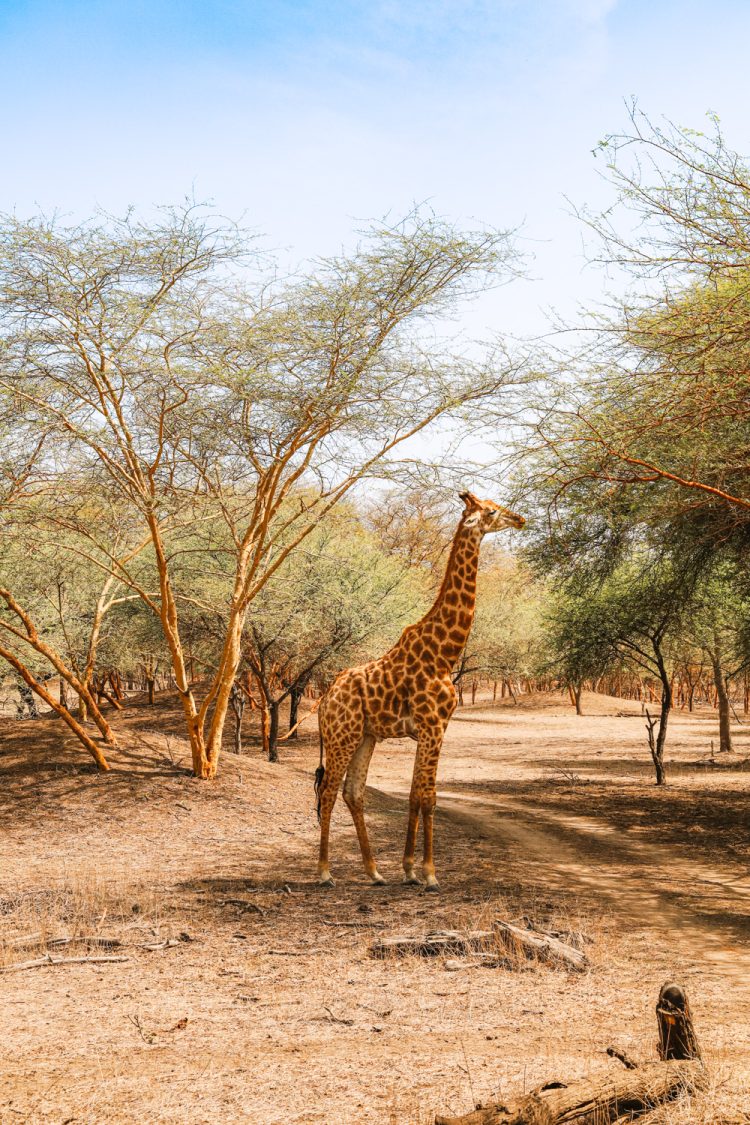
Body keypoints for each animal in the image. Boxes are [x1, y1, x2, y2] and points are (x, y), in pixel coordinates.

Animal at [314, 488, 526, 891]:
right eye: (492, 512)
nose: (520, 518)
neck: (444, 654)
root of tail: (324, 700)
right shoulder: (434, 726)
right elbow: (429, 796)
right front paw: (430, 874)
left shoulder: (429, 730)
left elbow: (414, 794)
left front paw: (409, 870)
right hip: (341, 735)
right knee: (328, 791)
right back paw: (324, 872)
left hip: (365, 736)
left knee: (353, 792)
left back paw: (374, 872)